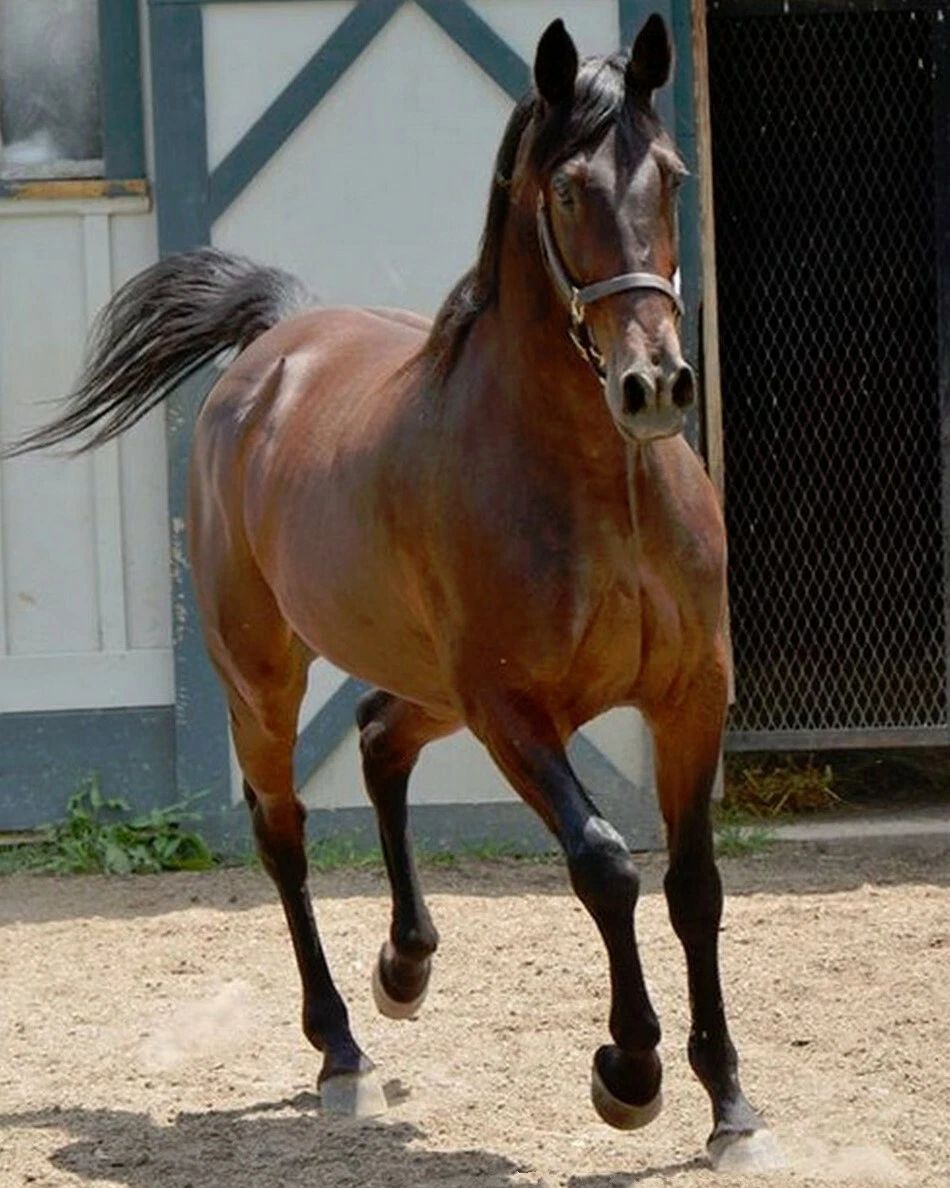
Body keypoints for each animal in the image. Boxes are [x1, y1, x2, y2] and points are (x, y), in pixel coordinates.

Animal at [5, 15, 779, 1171]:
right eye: (566, 191)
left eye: (672, 176)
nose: (654, 386)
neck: (606, 490)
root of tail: (275, 344)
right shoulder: (515, 712)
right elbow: (604, 864)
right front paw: (627, 1077)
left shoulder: (690, 696)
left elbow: (695, 885)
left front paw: (730, 1107)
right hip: (267, 678)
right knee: (281, 828)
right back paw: (342, 1054)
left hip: (429, 682)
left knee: (376, 735)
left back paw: (404, 967)